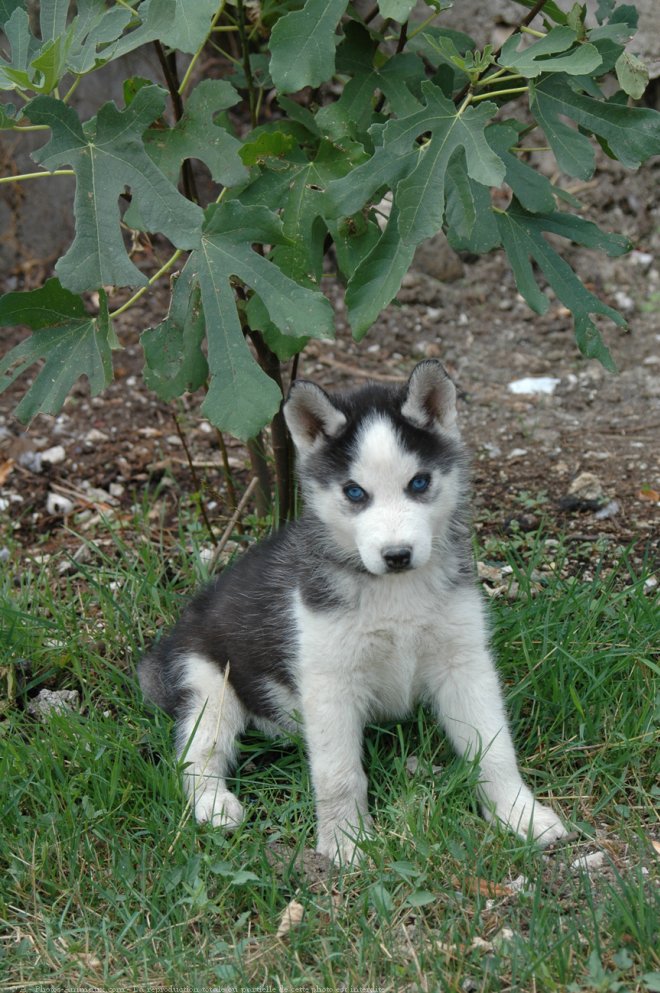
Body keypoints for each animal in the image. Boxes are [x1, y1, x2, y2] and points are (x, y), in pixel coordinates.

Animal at [141, 358, 568, 860]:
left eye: (419, 482)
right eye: (354, 492)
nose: (397, 555)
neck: (395, 592)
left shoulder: (462, 661)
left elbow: (494, 747)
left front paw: (520, 814)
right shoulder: (330, 681)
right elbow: (338, 773)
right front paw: (346, 841)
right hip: (208, 683)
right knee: (195, 754)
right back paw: (214, 803)